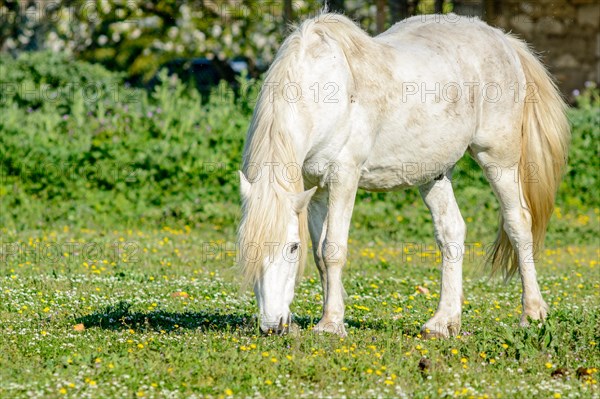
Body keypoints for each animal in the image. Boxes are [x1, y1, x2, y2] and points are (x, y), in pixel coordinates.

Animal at [237, 13, 568, 338]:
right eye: (246, 247)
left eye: (292, 247)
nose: (272, 326)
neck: (323, 89)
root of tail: (504, 40)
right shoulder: (313, 188)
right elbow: (319, 254)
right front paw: (331, 313)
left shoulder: (344, 177)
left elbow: (333, 249)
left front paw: (330, 324)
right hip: (433, 175)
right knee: (452, 231)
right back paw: (443, 323)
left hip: (497, 159)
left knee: (518, 223)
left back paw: (532, 314)